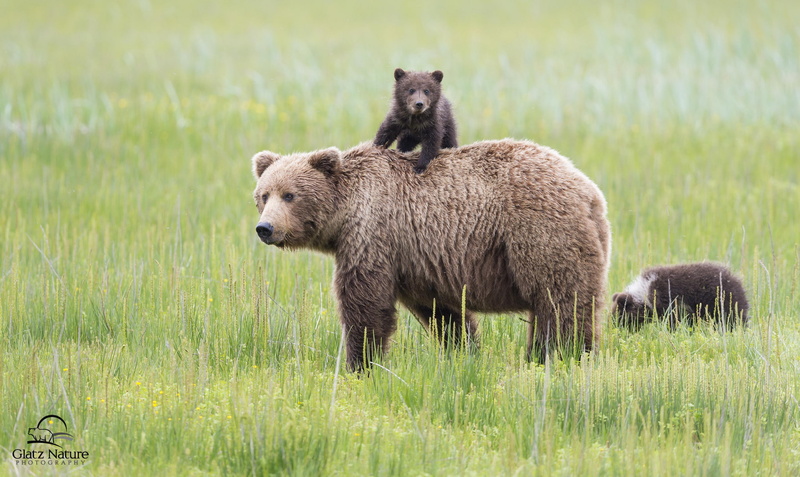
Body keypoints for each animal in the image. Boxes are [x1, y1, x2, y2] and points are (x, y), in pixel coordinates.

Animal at [251, 140, 611, 371]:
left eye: (290, 195)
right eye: (263, 195)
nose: (265, 228)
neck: (344, 213)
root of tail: (590, 192)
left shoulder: (373, 233)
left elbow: (364, 303)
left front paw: (360, 364)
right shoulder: (419, 259)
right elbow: (443, 312)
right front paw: (464, 352)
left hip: (539, 232)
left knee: (560, 301)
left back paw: (564, 357)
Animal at [611, 262, 749, 329]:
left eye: (620, 316)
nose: (616, 328)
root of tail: (736, 280)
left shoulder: (668, 300)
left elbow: (673, 320)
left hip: (722, 301)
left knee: (732, 319)